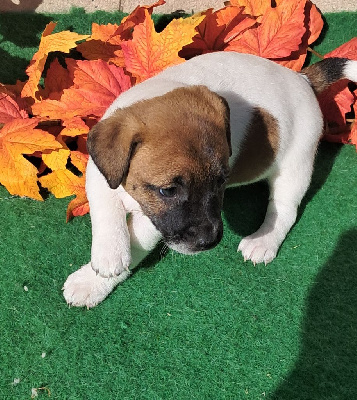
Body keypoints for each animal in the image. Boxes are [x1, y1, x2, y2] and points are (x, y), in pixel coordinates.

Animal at [62, 51, 354, 308]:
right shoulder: (100, 173)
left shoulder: (157, 223)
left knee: (285, 209)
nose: (209, 242)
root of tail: (302, 78)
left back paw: (263, 241)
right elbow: (105, 209)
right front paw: (109, 254)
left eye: (222, 180)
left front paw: (90, 281)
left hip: (296, 166)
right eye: (168, 190)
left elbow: (136, 243)